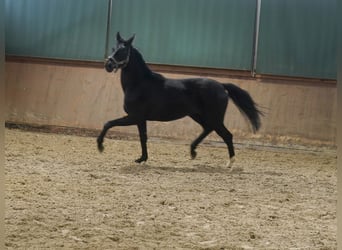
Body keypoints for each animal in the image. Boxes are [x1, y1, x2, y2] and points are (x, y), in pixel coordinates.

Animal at [96, 32, 262, 167]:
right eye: (113, 48)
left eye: (123, 50)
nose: (108, 65)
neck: (139, 83)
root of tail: (221, 86)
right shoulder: (140, 119)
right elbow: (143, 137)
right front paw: (142, 159)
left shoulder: (134, 117)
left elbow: (108, 123)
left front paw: (100, 146)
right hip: (198, 115)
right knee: (208, 129)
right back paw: (193, 151)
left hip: (214, 117)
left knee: (227, 135)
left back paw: (229, 163)